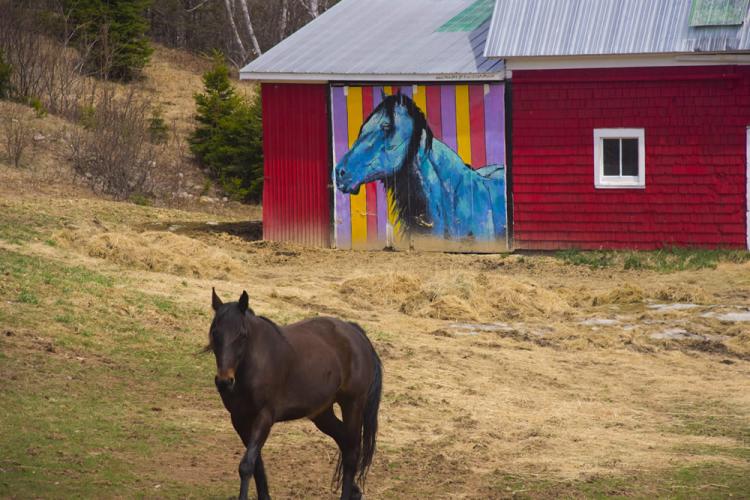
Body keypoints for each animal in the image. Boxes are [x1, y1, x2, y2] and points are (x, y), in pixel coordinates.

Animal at [206, 289, 383, 500]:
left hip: (353, 404)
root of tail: (355, 332)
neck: (254, 364)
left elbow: (247, 465)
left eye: (242, 335)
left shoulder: (264, 416)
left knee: (351, 453)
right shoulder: (239, 419)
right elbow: (256, 465)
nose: (224, 381)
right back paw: (355, 491)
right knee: (345, 442)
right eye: (215, 333)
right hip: (322, 413)